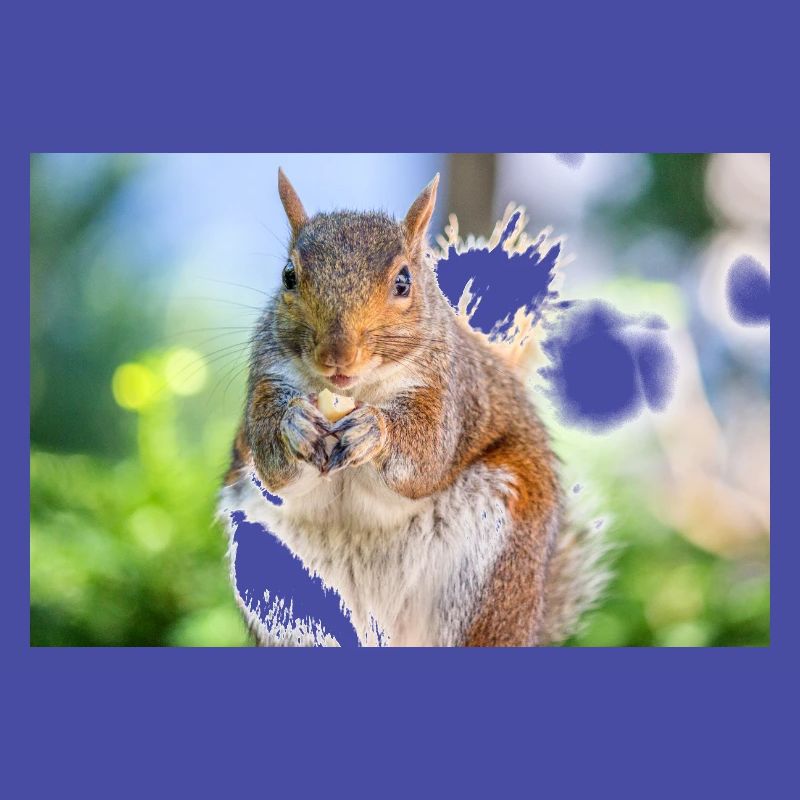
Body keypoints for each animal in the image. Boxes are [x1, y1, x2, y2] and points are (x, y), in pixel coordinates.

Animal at [219, 168, 608, 646]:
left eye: (403, 282)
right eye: (288, 276)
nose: (337, 356)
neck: (359, 390)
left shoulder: (448, 393)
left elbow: (425, 457)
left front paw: (374, 430)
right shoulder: (268, 378)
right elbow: (273, 462)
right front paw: (295, 425)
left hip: (492, 577)